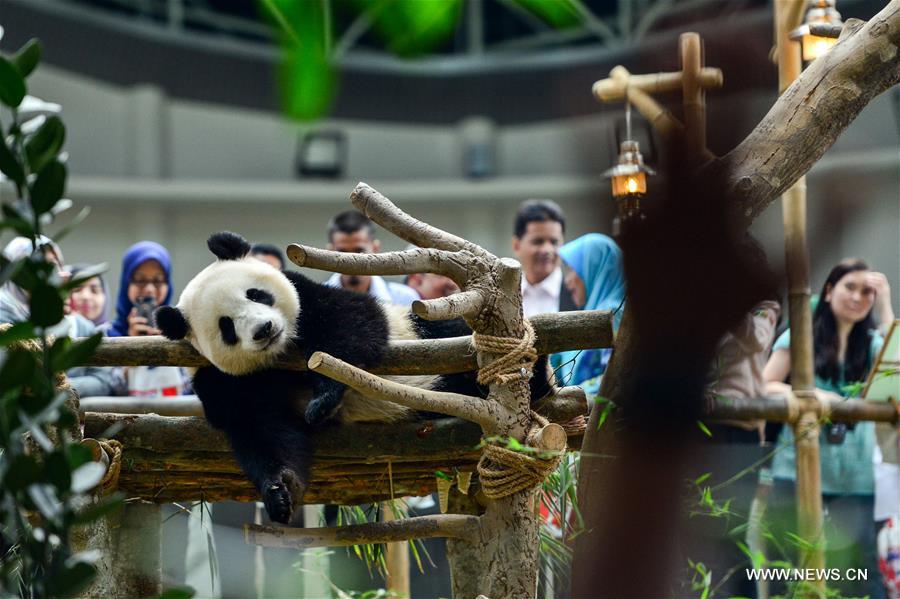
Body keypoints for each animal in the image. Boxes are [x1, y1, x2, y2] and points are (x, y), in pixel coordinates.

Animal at [156, 231, 553, 524]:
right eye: (226, 326)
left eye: (256, 294)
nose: (264, 329)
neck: (281, 355)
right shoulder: (223, 382)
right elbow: (261, 429)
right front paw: (280, 490)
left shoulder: (311, 299)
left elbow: (351, 326)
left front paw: (324, 398)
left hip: (430, 337)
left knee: (455, 337)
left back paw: (533, 378)